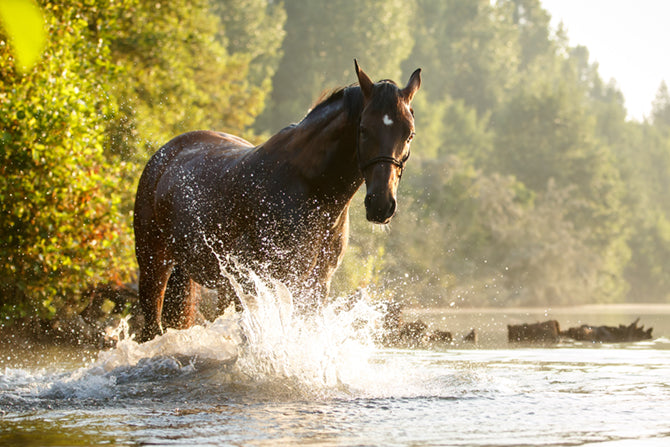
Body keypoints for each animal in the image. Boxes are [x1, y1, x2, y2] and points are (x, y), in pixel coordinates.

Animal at [134, 60, 421, 342]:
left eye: (409, 134)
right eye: (364, 129)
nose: (381, 204)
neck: (313, 191)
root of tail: (165, 153)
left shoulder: (315, 286)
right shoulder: (258, 282)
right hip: (154, 266)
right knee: (152, 329)